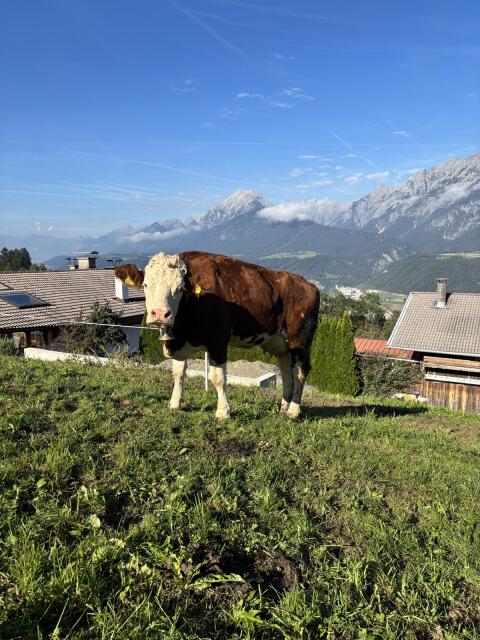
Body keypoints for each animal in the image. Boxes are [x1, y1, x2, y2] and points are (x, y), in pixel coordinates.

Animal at [115, 251, 319, 420]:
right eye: (145, 284)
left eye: (180, 288)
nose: (159, 314)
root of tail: (308, 284)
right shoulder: (180, 344)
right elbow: (178, 373)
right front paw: (174, 403)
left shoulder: (218, 342)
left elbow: (218, 378)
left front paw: (223, 412)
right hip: (279, 340)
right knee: (286, 369)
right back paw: (283, 408)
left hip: (300, 338)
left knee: (300, 371)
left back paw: (293, 411)